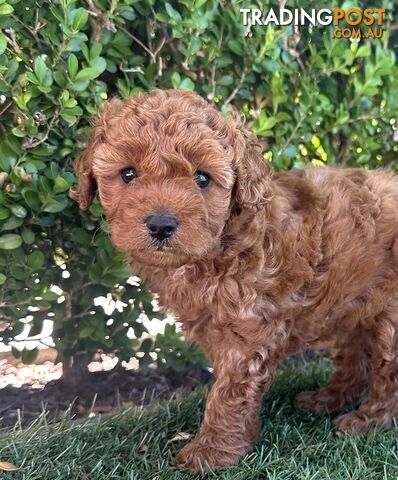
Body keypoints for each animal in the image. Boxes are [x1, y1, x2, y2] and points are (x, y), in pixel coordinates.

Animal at [70, 89, 398, 472]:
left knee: (388, 374)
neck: (221, 244)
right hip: (347, 304)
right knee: (356, 357)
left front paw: (211, 451)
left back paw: (366, 421)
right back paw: (326, 399)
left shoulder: (248, 331)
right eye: (128, 174)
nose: (162, 225)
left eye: (202, 178)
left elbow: (228, 392)